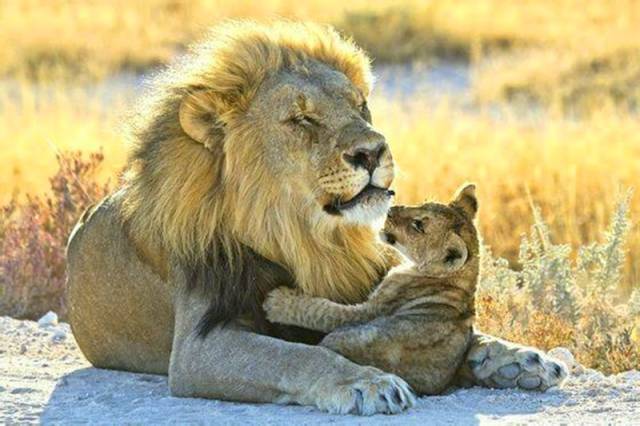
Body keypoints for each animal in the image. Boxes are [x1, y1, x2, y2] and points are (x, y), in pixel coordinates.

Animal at [65, 20, 564, 416]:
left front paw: (520, 358)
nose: (373, 151)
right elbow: (298, 356)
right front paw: (368, 382)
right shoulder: (196, 347)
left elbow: (465, 330)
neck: (306, 236)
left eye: (360, 105)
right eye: (302, 119)